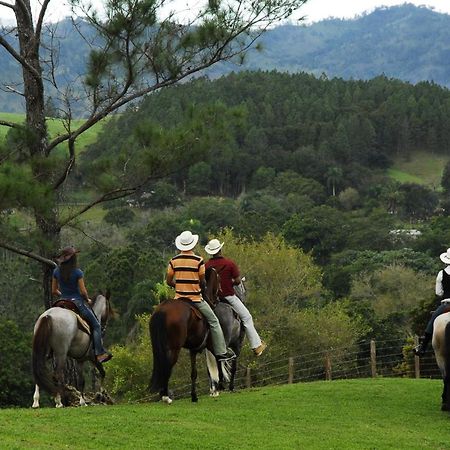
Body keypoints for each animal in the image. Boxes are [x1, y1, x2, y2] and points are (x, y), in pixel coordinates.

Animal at [150, 268, 229, 404]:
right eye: (219, 278)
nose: (218, 298)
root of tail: (163, 310)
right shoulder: (211, 344)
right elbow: (218, 359)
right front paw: (219, 386)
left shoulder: (193, 349)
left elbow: (194, 373)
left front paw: (194, 396)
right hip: (174, 347)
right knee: (168, 365)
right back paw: (166, 396)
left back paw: (163, 394)